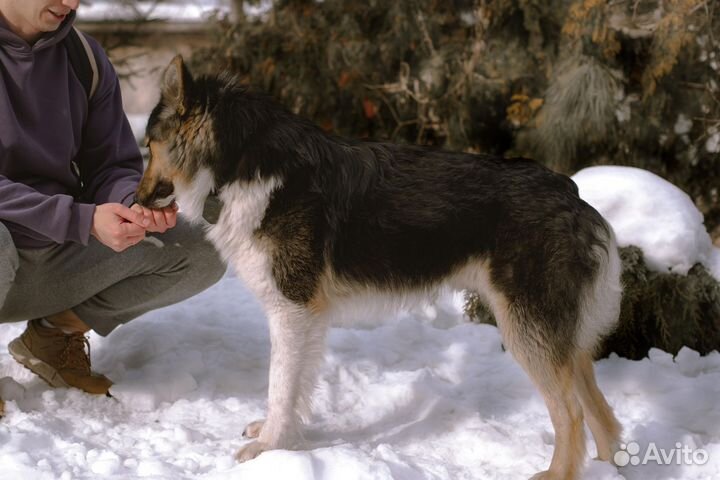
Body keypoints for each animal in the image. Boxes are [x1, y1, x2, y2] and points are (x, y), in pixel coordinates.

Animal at [136, 57, 624, 480]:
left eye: (149, 147)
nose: (135, 202)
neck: (236, 165)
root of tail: (571, 192)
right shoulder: (305, 317)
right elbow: (295, 389)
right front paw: (285, 437)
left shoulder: (291, 310)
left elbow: (280, 386)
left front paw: (269, 447)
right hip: (559, 340)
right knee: (602, 416)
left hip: (525, 331)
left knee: (572, 413)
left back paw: (556, 474)